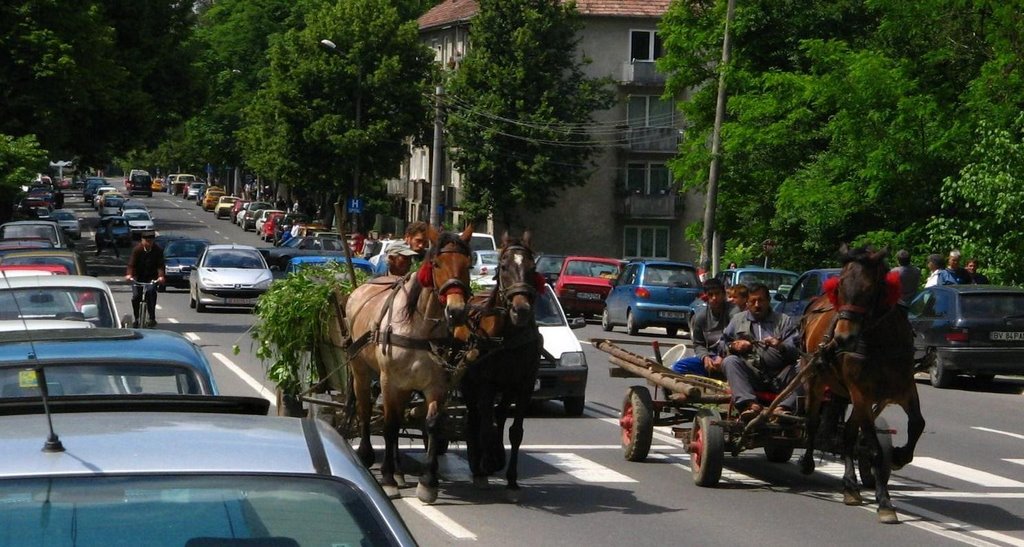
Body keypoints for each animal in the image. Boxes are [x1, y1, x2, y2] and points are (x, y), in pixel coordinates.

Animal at [344, 225, 471, 503]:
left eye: (468, 264)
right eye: (436, 264)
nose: (457, 311)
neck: (418, 327)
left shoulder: (436, 385)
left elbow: (431, 425)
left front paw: (428, 483)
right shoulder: (389, 381)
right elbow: (389, 425)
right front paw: (388, 480)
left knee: (399, 415)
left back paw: (400, 471)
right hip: (361, 370)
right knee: (364, 408)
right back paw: (368, 455)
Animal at [462, 231, 544, 501]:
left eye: (532, 268)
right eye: (504, 267)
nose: (521, 309)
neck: (509, 333)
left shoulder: (525, 384)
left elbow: (516, 431)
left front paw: (511, 479)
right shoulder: (486, 383)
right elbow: (486, 426)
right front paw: (486, 463)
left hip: (507, 387)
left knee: (498, 415)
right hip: (470, 384)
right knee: (475, 419)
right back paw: (480, 464)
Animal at [798, 246, 929, 524]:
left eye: (869, 289)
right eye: (839, 287)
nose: (843, 338)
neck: (881, 342)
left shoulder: (905, 389)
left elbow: (917, 424)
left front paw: (900, 456)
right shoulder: (862, 394)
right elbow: (875, 449)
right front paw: (885, 503)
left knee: (848, 434)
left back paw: (850, 486)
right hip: (816, 379)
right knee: (812, 422)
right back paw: (808, 462)